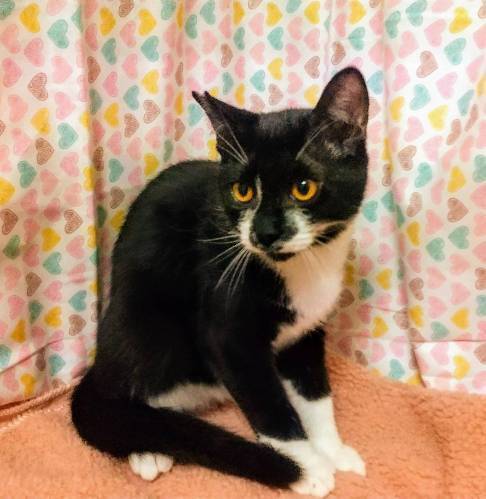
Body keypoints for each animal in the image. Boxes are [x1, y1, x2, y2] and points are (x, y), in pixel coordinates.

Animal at [71, 67, 369, 497]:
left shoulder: (309, 327)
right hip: (141, 318)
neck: (304, 268)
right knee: (123, 393)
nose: (264, 232)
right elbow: (268, 404)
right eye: (242, 191)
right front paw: (308, 467)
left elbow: (315, 392)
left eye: (304, 188)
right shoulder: (226, 330)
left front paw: (333, 449)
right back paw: (148, 447)